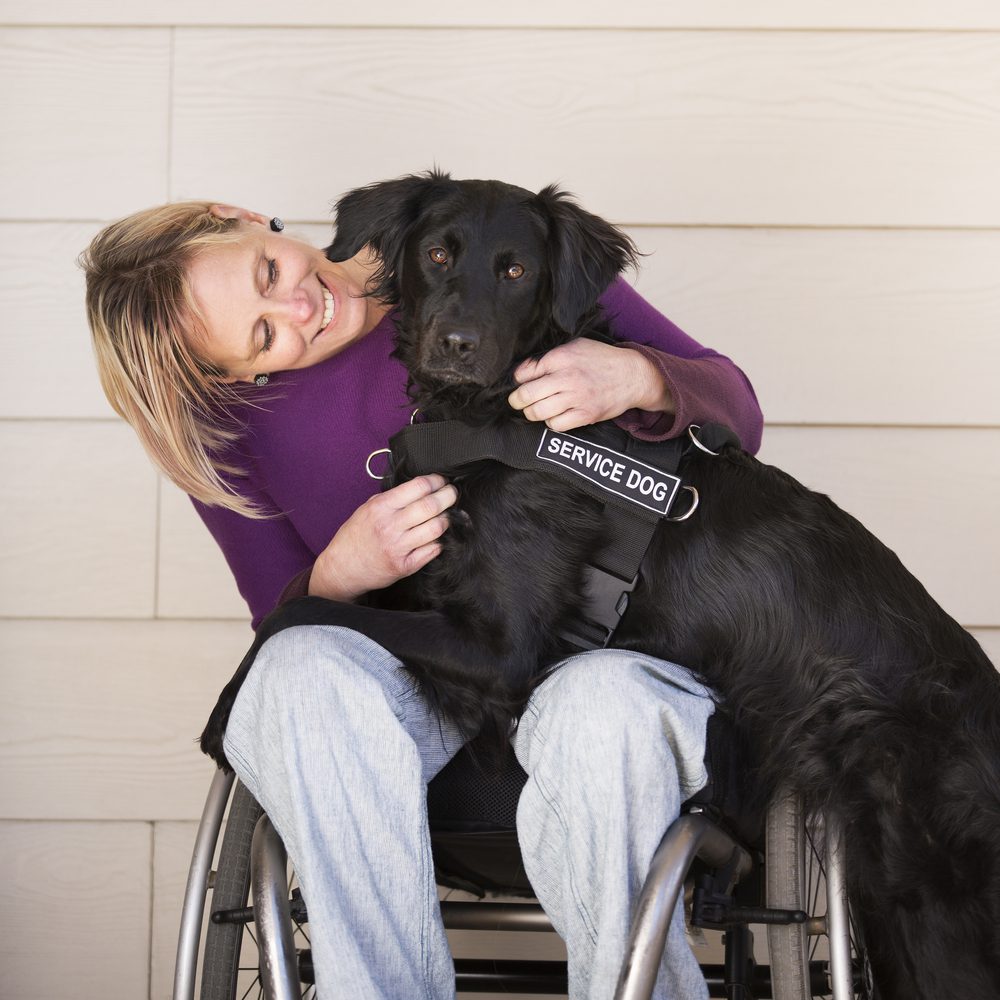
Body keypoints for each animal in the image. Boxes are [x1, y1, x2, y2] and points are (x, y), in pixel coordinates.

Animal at [205, 172, 1000, 1000]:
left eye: (516, 270)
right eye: (436, 254)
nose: (457, 344)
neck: (496, 417)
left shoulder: (501, 651)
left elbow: (297, 610)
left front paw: (222, 715)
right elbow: (334, 597)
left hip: (928, 892)